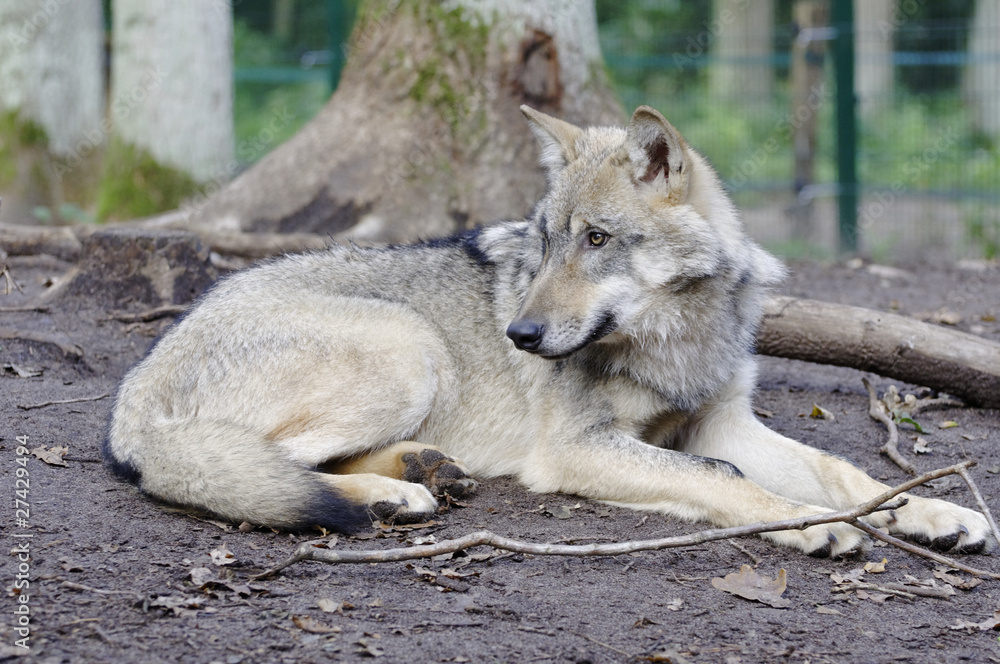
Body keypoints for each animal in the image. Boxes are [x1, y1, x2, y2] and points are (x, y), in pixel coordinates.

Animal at [104, 105, 992, 557]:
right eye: (545, 240)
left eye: (595, 240)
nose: (520, 334)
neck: (675, 336)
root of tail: (134, 390)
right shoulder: (579, 448)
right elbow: (731, 485)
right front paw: (812, 525)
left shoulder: (725, 424)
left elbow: (845, 472)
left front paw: (928, 514)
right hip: (406, 349)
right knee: (267, 469)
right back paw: (395, 493)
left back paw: (425, 472)